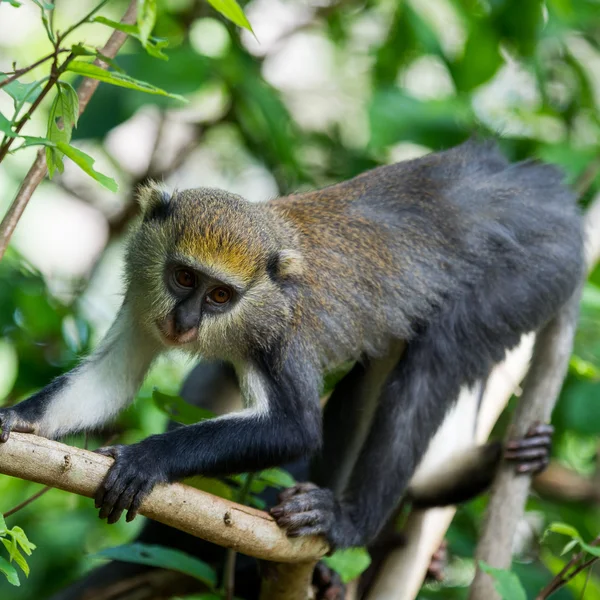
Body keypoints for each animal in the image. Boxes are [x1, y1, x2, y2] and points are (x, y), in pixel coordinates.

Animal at [0, 138, 584, 552]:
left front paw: (147, 459)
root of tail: (545, 194)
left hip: (530, 271)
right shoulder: (147, 303)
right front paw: (15, 418)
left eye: (219, 296)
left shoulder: (281, 335)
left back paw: (349, 523)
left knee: (431, 367)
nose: (184, 323)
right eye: (184, 279)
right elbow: (110, 379)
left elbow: (296, 428)